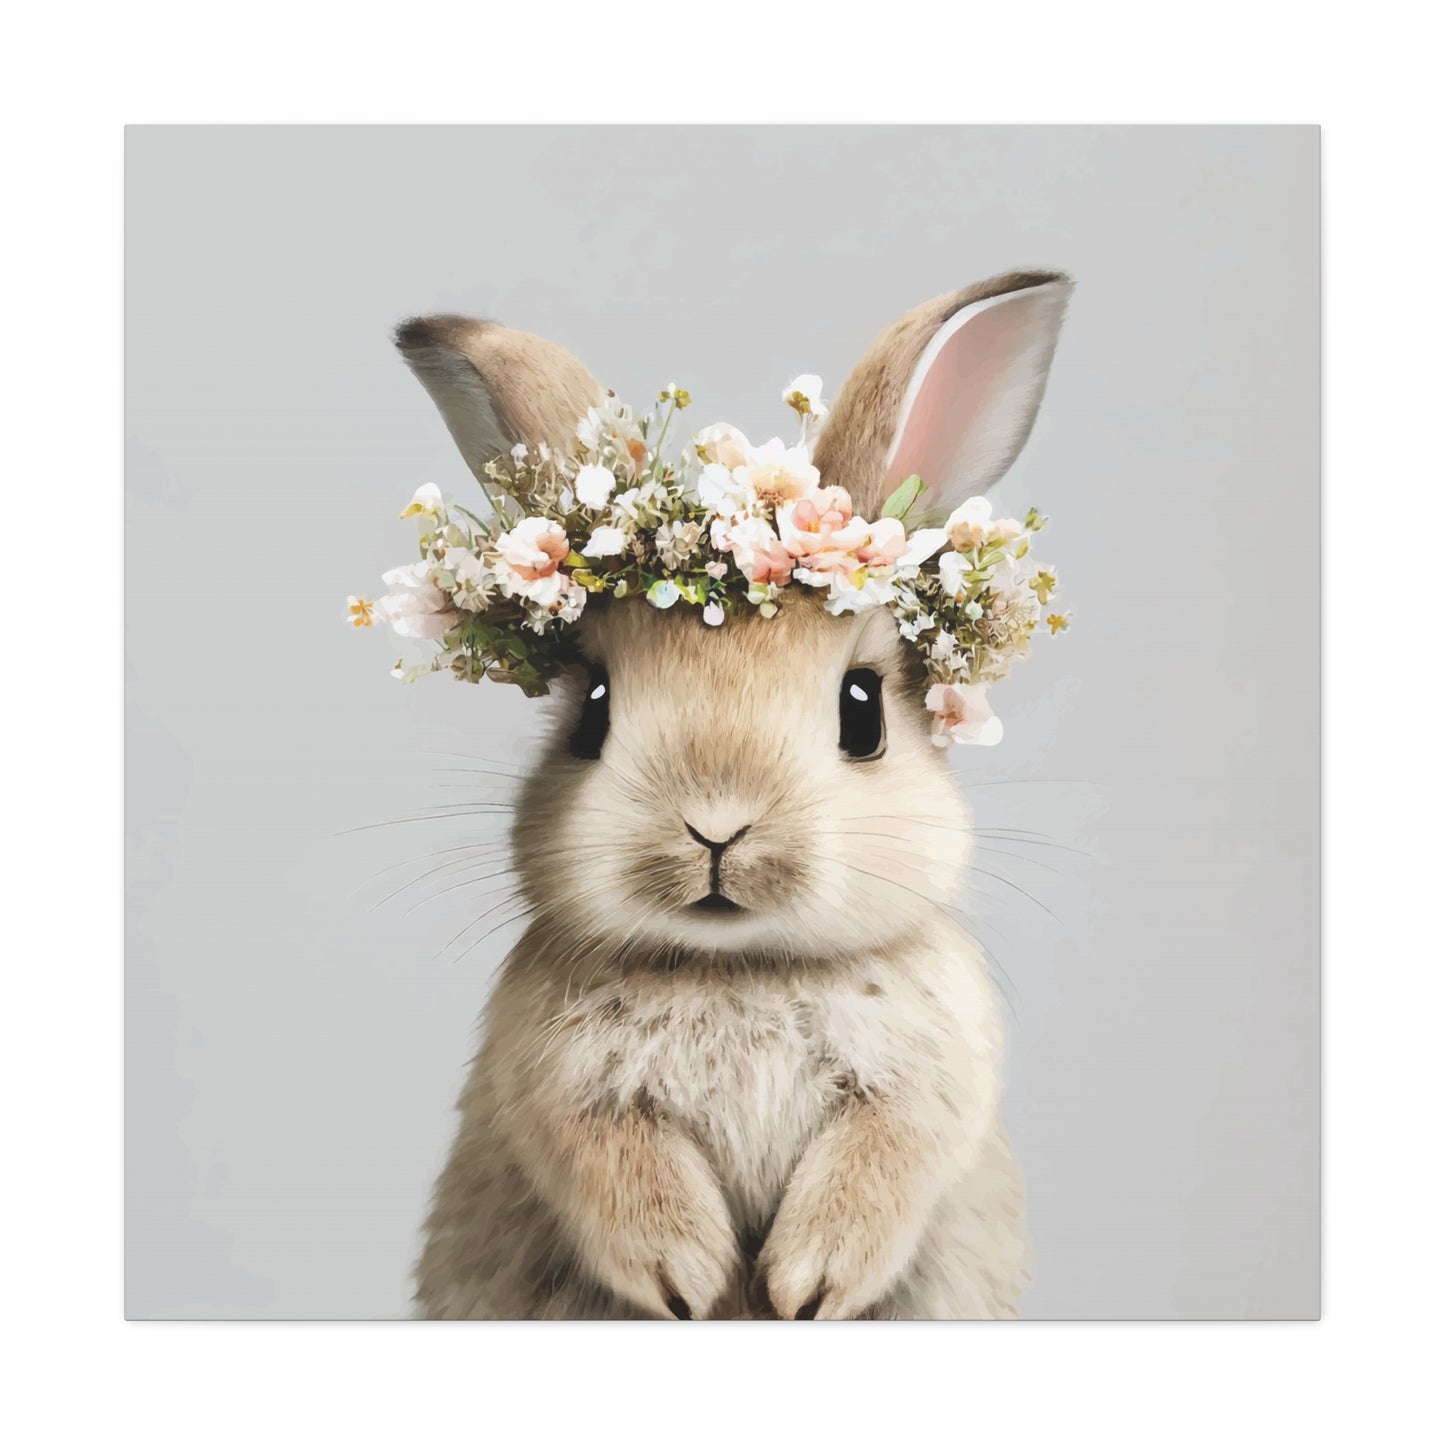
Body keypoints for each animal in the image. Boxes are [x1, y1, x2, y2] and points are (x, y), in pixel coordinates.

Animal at [395, 269, 1072, 1320]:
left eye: (862, 713)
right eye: (592, 711)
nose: (716, 826)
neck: (740, 967)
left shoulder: (927, 1087)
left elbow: (883, 1161)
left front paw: (804, 1285)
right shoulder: (558, 1093)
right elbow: (612, 1166)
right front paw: (691, 1280)